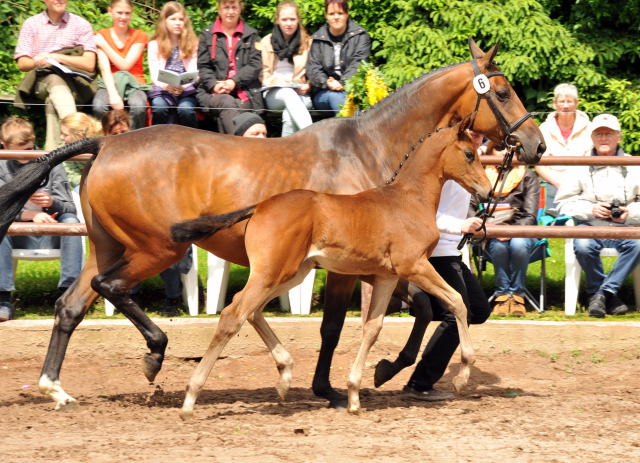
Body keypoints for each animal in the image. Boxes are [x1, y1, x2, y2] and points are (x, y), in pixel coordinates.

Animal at [172, 119, 492, 416]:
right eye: (468, 154)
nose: (487, 191)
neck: (409, 199)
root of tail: (260, 206)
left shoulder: (386, 277)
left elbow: (373, 327)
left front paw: (354, 394)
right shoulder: (414, 265)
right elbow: (457, 301)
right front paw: (462, 377)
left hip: (292, 273)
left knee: (252, 311)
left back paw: (285, 376)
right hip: (271, 273)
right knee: (233, 314)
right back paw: (190, 399)